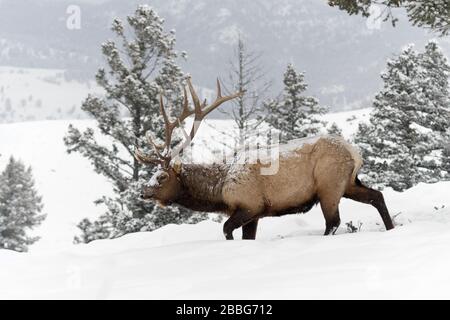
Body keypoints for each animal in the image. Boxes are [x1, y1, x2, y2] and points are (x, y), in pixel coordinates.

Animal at [136, 78, 394, 240]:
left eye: (162, 176)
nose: (143, 192)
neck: (219, 191)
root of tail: (355, 153)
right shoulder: (253, 215)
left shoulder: (250, 205)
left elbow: (226, 229)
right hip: (348, 183)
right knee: (377, 196)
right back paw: (391, 228)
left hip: (329, 185)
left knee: (333, 222)